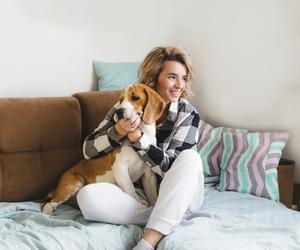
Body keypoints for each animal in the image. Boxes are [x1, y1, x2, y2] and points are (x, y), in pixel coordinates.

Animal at [42, 83, 165, 215]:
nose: (119, 111)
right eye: (120, 100)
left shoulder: (148, 174)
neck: (143, 133)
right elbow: (131, 191)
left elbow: (153, 196)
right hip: (75, 183)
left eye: (135, 97)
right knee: (49, 204)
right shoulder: (120, 167)